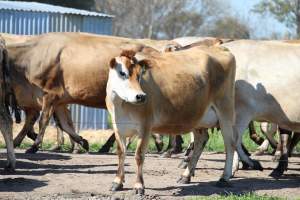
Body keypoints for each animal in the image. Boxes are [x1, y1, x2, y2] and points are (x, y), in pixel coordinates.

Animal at [106, 45, 237, 194]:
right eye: (122, 73)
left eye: (139, 76)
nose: (141, 96)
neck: (120, 106)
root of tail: (219, 48)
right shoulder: (118, 127)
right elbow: (121, 153)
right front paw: (117, 182)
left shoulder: (145, 126)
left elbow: (139, 155)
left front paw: (139, 185)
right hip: (197, 117)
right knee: (201, 140)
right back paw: (186, 176)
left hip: (225, 110)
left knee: (230, 144)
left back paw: (224, 178)